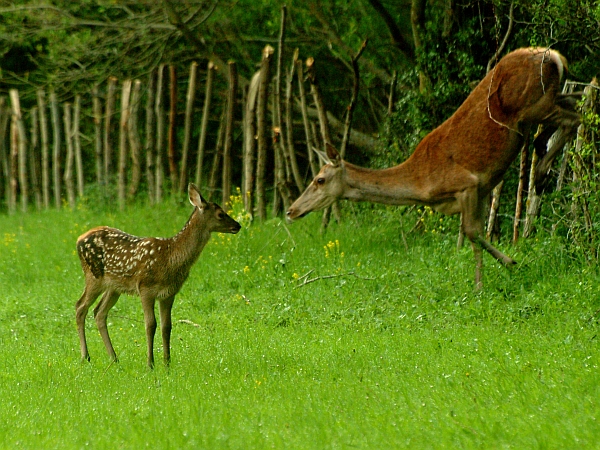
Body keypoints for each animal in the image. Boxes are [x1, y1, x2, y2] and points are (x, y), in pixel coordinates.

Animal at [76, 182, 240, 366]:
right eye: (220, 214)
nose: (238, 225)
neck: (170, 258)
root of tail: (79, 239)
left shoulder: (169, 293)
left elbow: (166, 326)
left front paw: (167, 362)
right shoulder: (145, 288)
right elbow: (150, 324)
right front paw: (150, 363)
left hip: (114, 287)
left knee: (99, 312)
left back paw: (114, 357)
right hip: (93, 276)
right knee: (80, 307)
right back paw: (85, 356)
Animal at [288, 47, 580, 288]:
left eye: (320, 179)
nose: (291, 210)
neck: (421, 184)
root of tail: (555, 57)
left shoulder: (466, 184)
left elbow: (472, 232)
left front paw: (491, 277)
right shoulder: (482, 189)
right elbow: (475, 232)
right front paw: (503, 268)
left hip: (533, 105)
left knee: (574, 117)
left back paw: (540, 172)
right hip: (548, 98)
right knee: (574, 105)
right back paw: (542, 161)